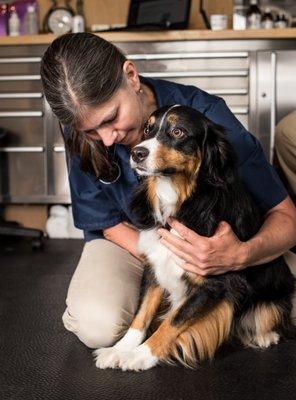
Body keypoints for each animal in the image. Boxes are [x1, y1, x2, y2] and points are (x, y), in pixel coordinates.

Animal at [93, 104, 294, 372]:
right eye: (147, 129)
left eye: (178, 131)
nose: (137, 153)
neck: (181, 198)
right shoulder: (155, 264)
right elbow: (142, 313)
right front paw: (119, 349)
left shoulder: (213, 282)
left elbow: (173, 322)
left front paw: (140, 355)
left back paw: (265, 335)